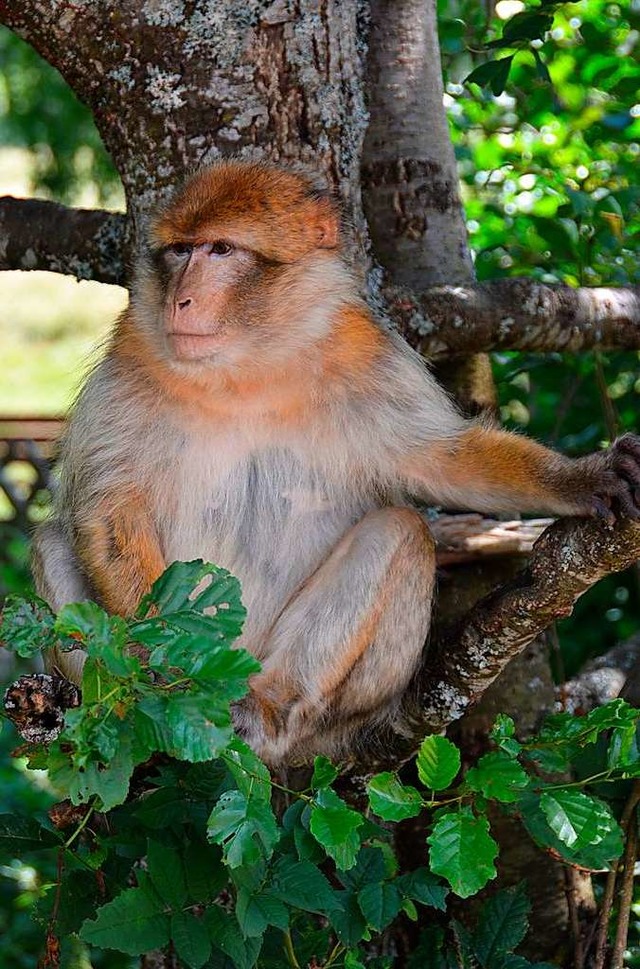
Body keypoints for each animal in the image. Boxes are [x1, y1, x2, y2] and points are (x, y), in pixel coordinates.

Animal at [31, 159, 640, 764]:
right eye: (180, 251)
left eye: (221, 250)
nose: (179, 301)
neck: (247, 364)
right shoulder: (131, 352)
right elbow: (108, 509)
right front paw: (172, 678)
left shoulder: (364, 347)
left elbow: (444, 456)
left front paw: (583, 479)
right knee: (52, 541)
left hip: (351, 705)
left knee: (399, 531)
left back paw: (271, 710)